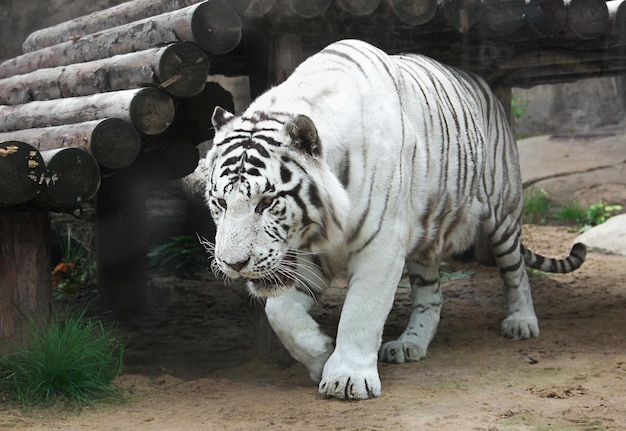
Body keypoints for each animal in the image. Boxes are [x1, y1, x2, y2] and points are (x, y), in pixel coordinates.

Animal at [205, 39, 584, 402]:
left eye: (267, 202)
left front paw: (347, 378)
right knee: (431, 295)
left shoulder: (382, 245)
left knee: (515, 270)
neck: (325, 226)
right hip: (424, 237)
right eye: (221, 202)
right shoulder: (310, 257)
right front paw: (321, 353)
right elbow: (280, 313)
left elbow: (361, 311)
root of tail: (483, 84)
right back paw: (410, 344)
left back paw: (521, 322)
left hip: (503, 210)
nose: (233, 264)